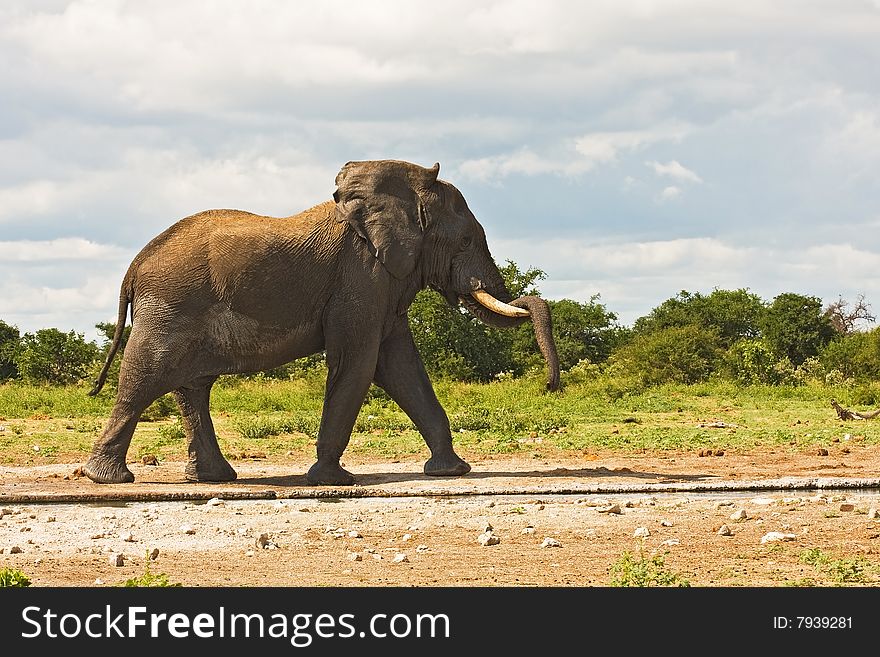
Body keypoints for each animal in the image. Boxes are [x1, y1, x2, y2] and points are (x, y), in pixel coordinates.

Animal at [86, 158, 560, 484]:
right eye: (464, 241)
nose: (550, 386)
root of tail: (134, 267)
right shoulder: (360, 276)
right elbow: (361, 362)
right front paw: (334, 481)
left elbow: (402, 367)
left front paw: (451, 472)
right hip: (170, 307)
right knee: (145, 377)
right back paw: (109, 478)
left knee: (192, 387)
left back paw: (214, 478)